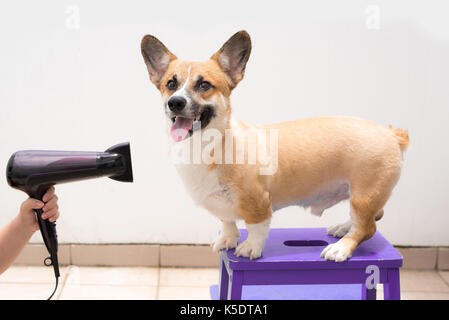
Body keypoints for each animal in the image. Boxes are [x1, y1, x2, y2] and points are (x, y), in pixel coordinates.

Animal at [142, 30, 408, 262]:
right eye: (171, 84)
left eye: (204, 85)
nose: (175, 103)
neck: (206, 146)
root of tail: (391, 133)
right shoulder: (221, 206)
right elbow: (227, 222)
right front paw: (228, 239)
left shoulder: (258, 202)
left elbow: (256, 227)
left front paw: (250, 248)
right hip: (362, 198)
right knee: (373, 217)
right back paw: (343, 228)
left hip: (363, 197)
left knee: (367, 227)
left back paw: (341, 248)